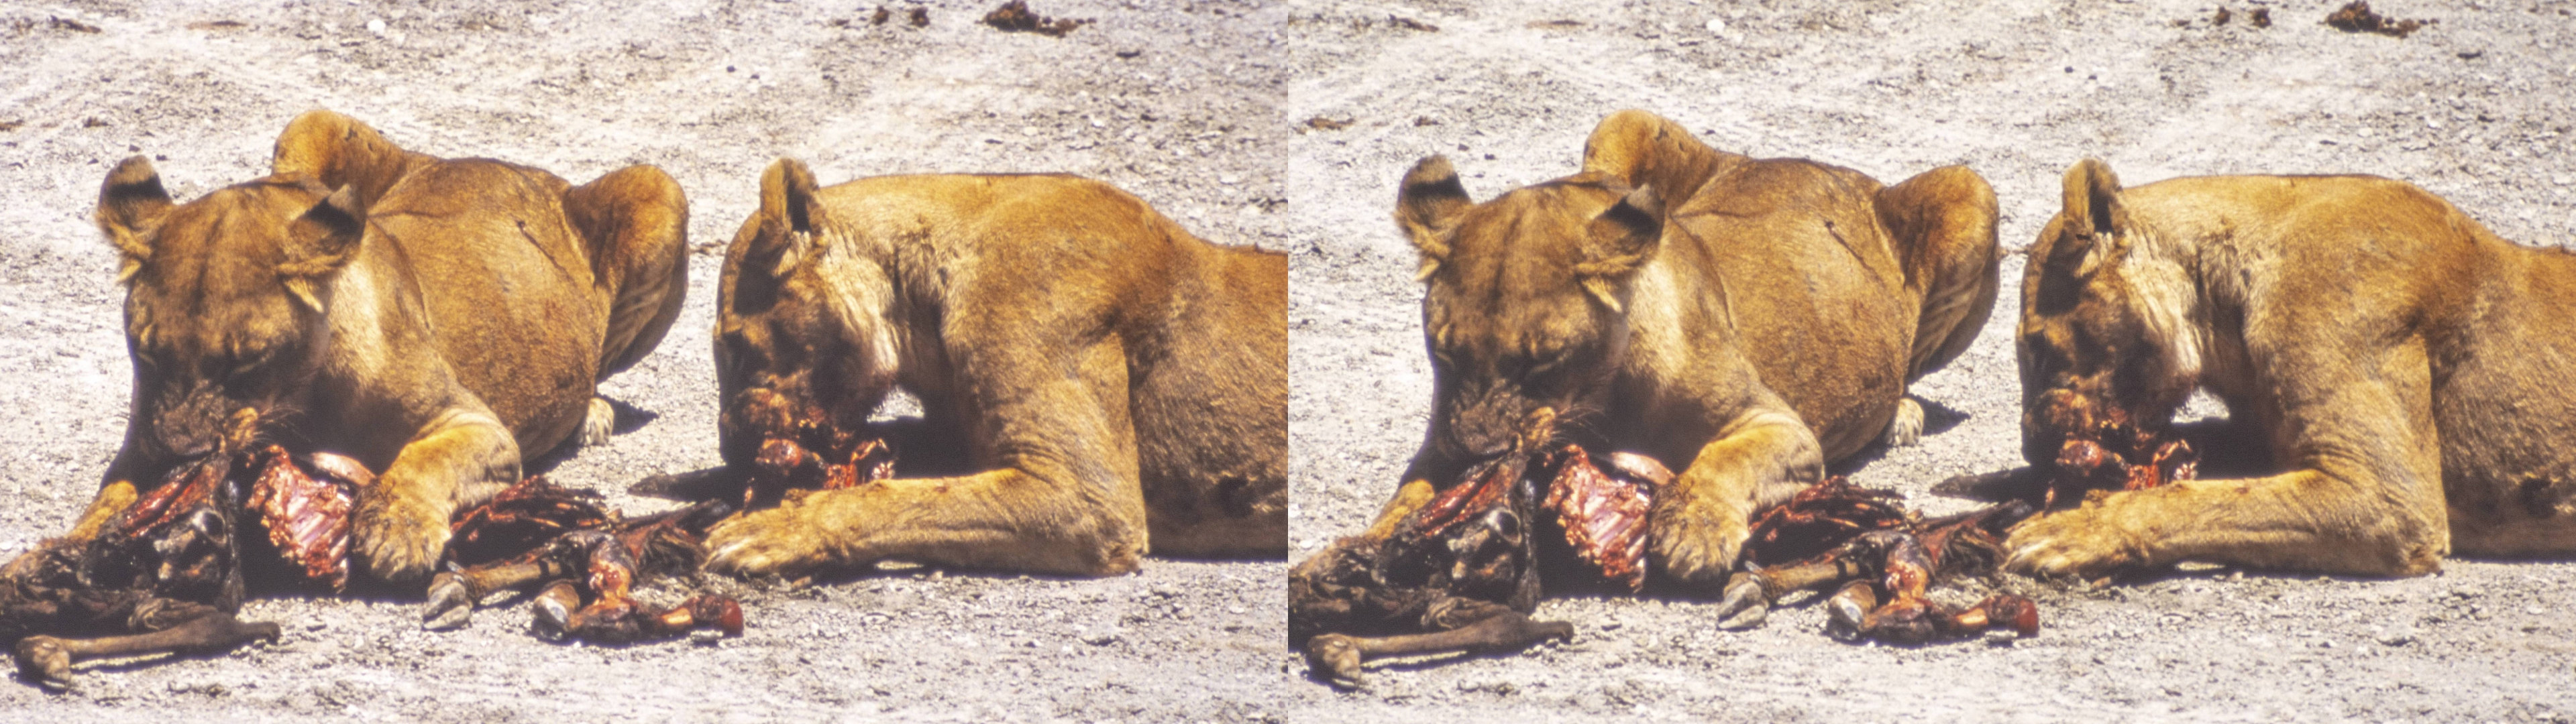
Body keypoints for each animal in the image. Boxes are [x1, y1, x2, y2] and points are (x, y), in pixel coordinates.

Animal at [70, 110, 688, 587]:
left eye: (246, 363)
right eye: (147, 353)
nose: (184, 453)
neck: (299, 403)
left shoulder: (480, 426)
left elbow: (427, 460)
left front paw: (397, 533)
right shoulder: (145, 437)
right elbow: (113, 492)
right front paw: (72, 549)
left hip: (661, 191)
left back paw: (592, 414)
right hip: (312, 125)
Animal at [1292, 108, 1999, 650]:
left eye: (1541, 361)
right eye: (1443, 351)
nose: (1479, 452)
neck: (1600, 401)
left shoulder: (1783, 426)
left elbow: (1726, 461)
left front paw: (1692, 533)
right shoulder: (1443, 438)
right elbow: (1408, 497)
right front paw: (1351, 559)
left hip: (1973, 191)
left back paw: (1902, 414)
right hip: (1623, 124)